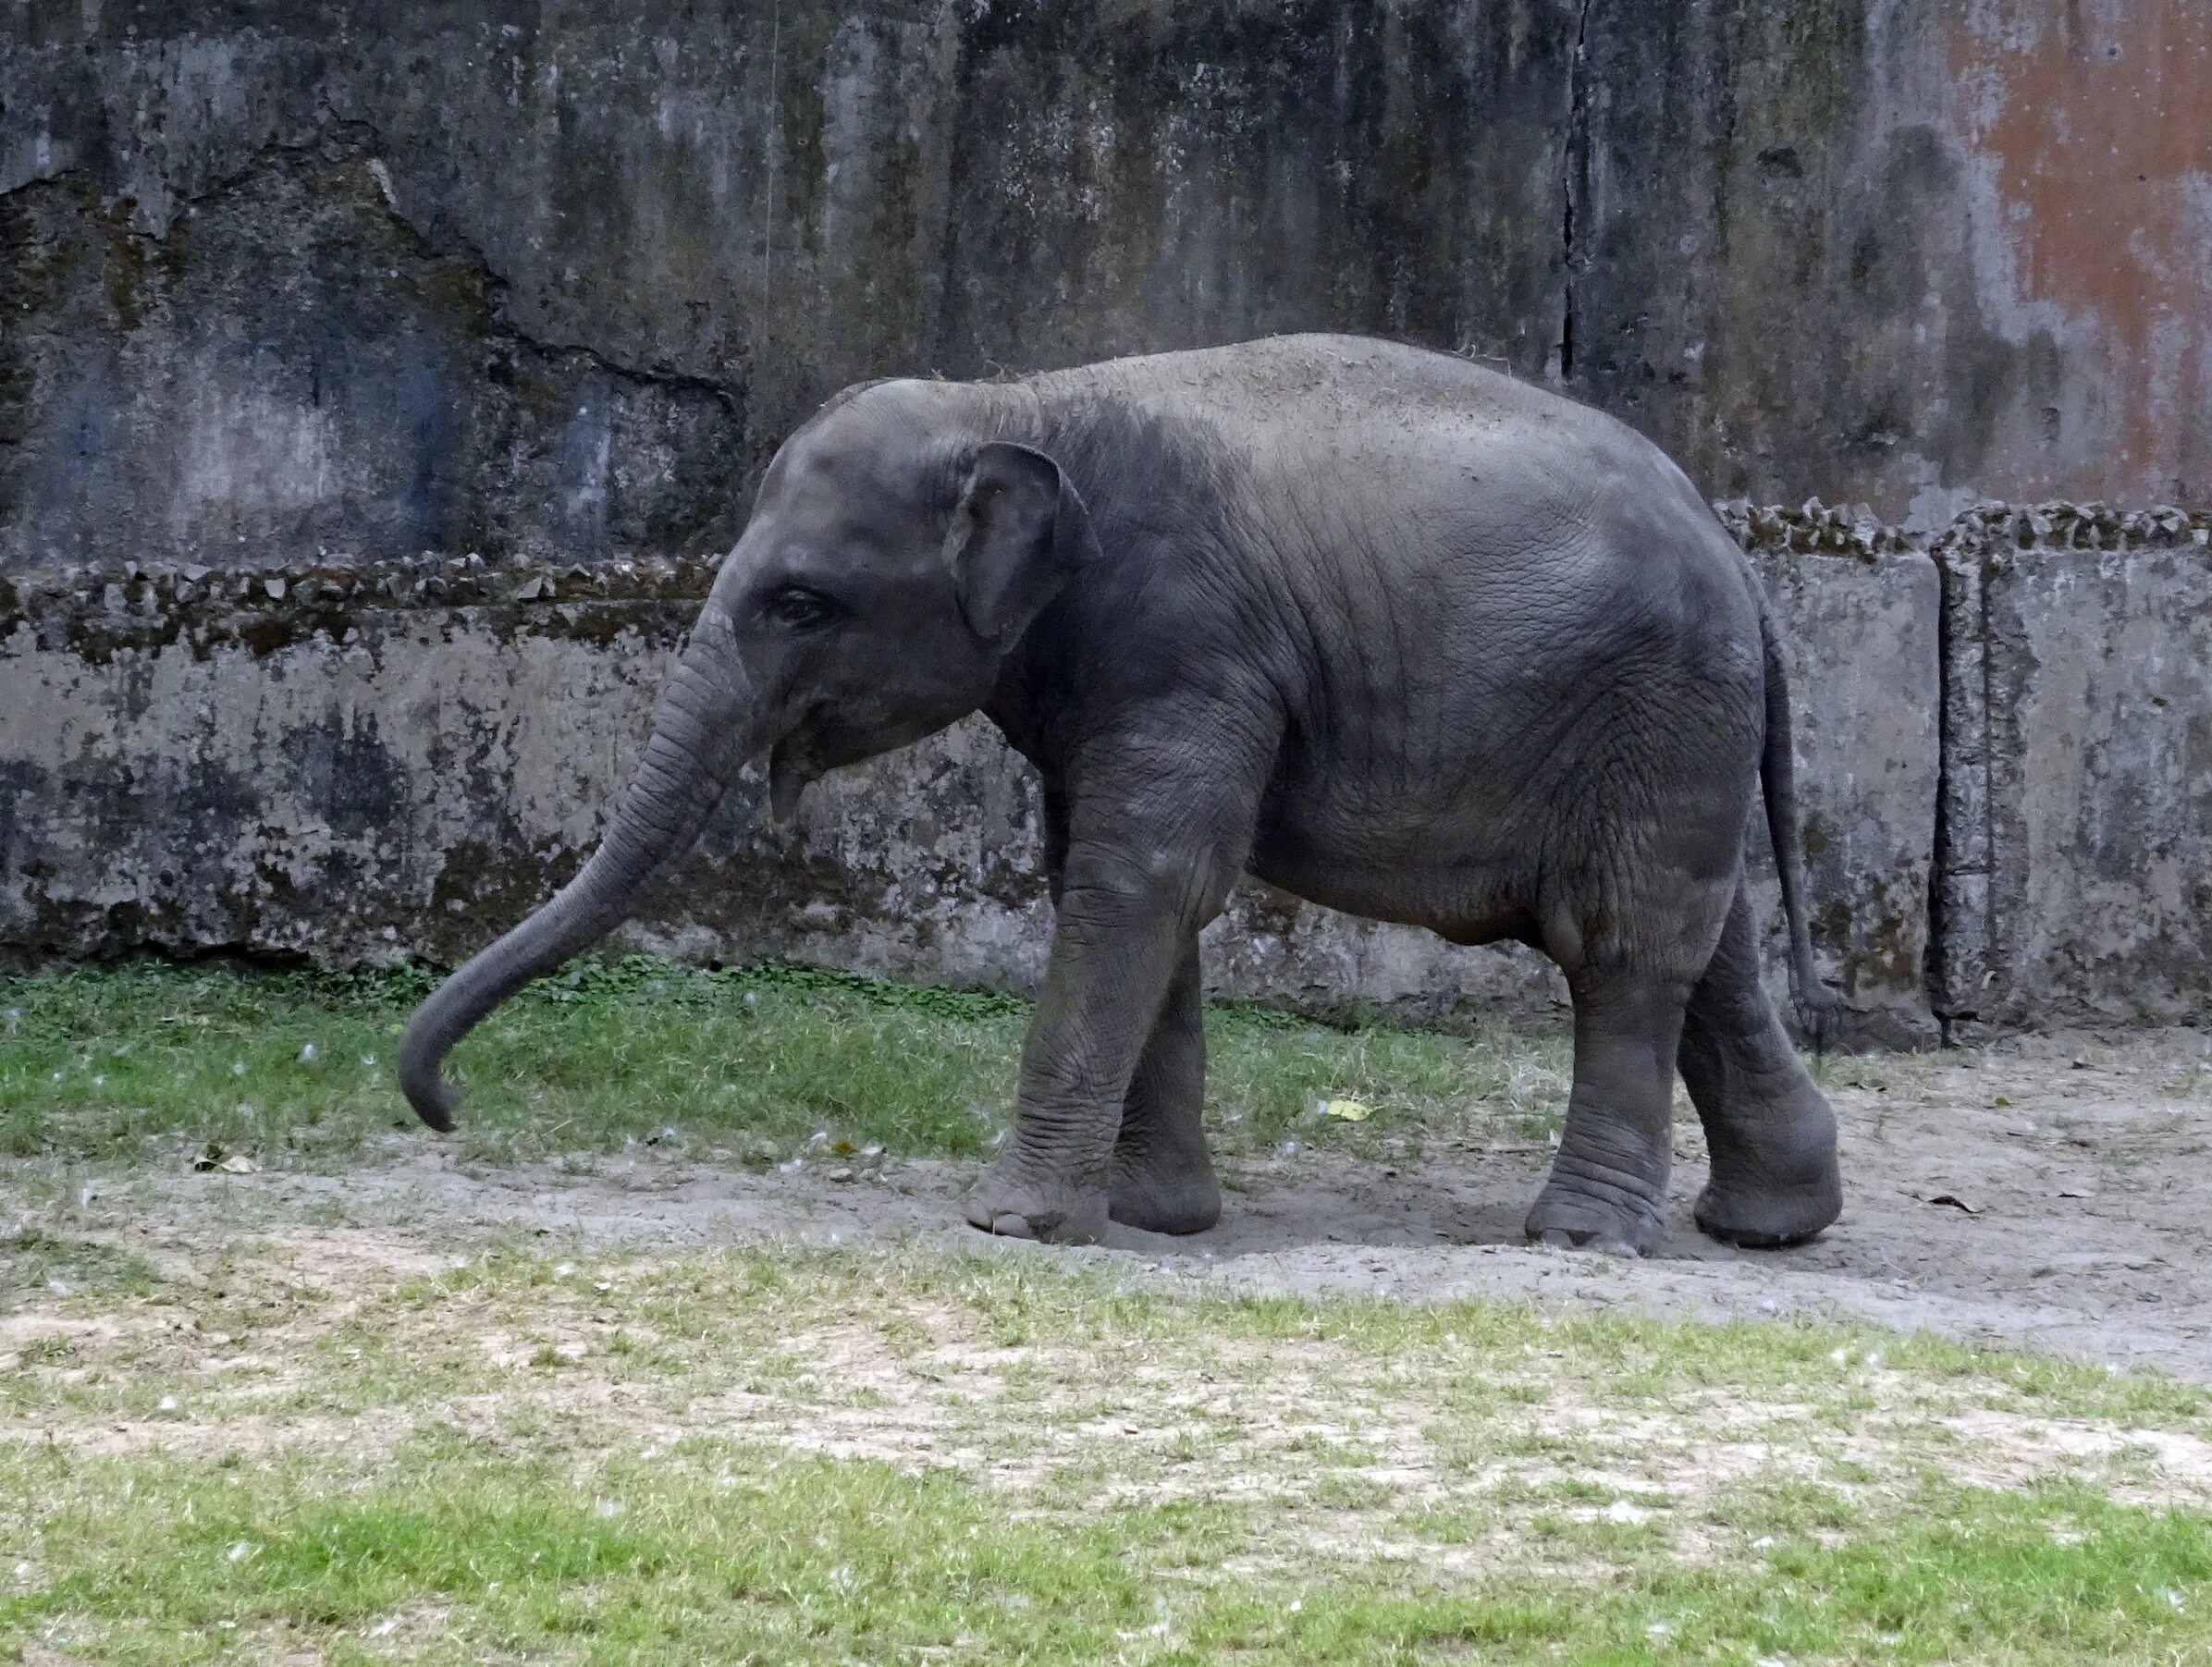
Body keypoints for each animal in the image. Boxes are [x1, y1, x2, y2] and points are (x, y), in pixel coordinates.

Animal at [402, 331, 1849, 1256]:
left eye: (802, 602)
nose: (450, 1109)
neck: (1018, 400)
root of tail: (1743, 558)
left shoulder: (1188, 636)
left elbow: (1140, 875)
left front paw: (1017, 1224)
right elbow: (1119, 883)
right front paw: (1154, 1218)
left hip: (1655, 708)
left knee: (1621, 944)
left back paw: (1581, 1240)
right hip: (1672, 731)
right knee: (1706, 945)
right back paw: (1769, 1224)